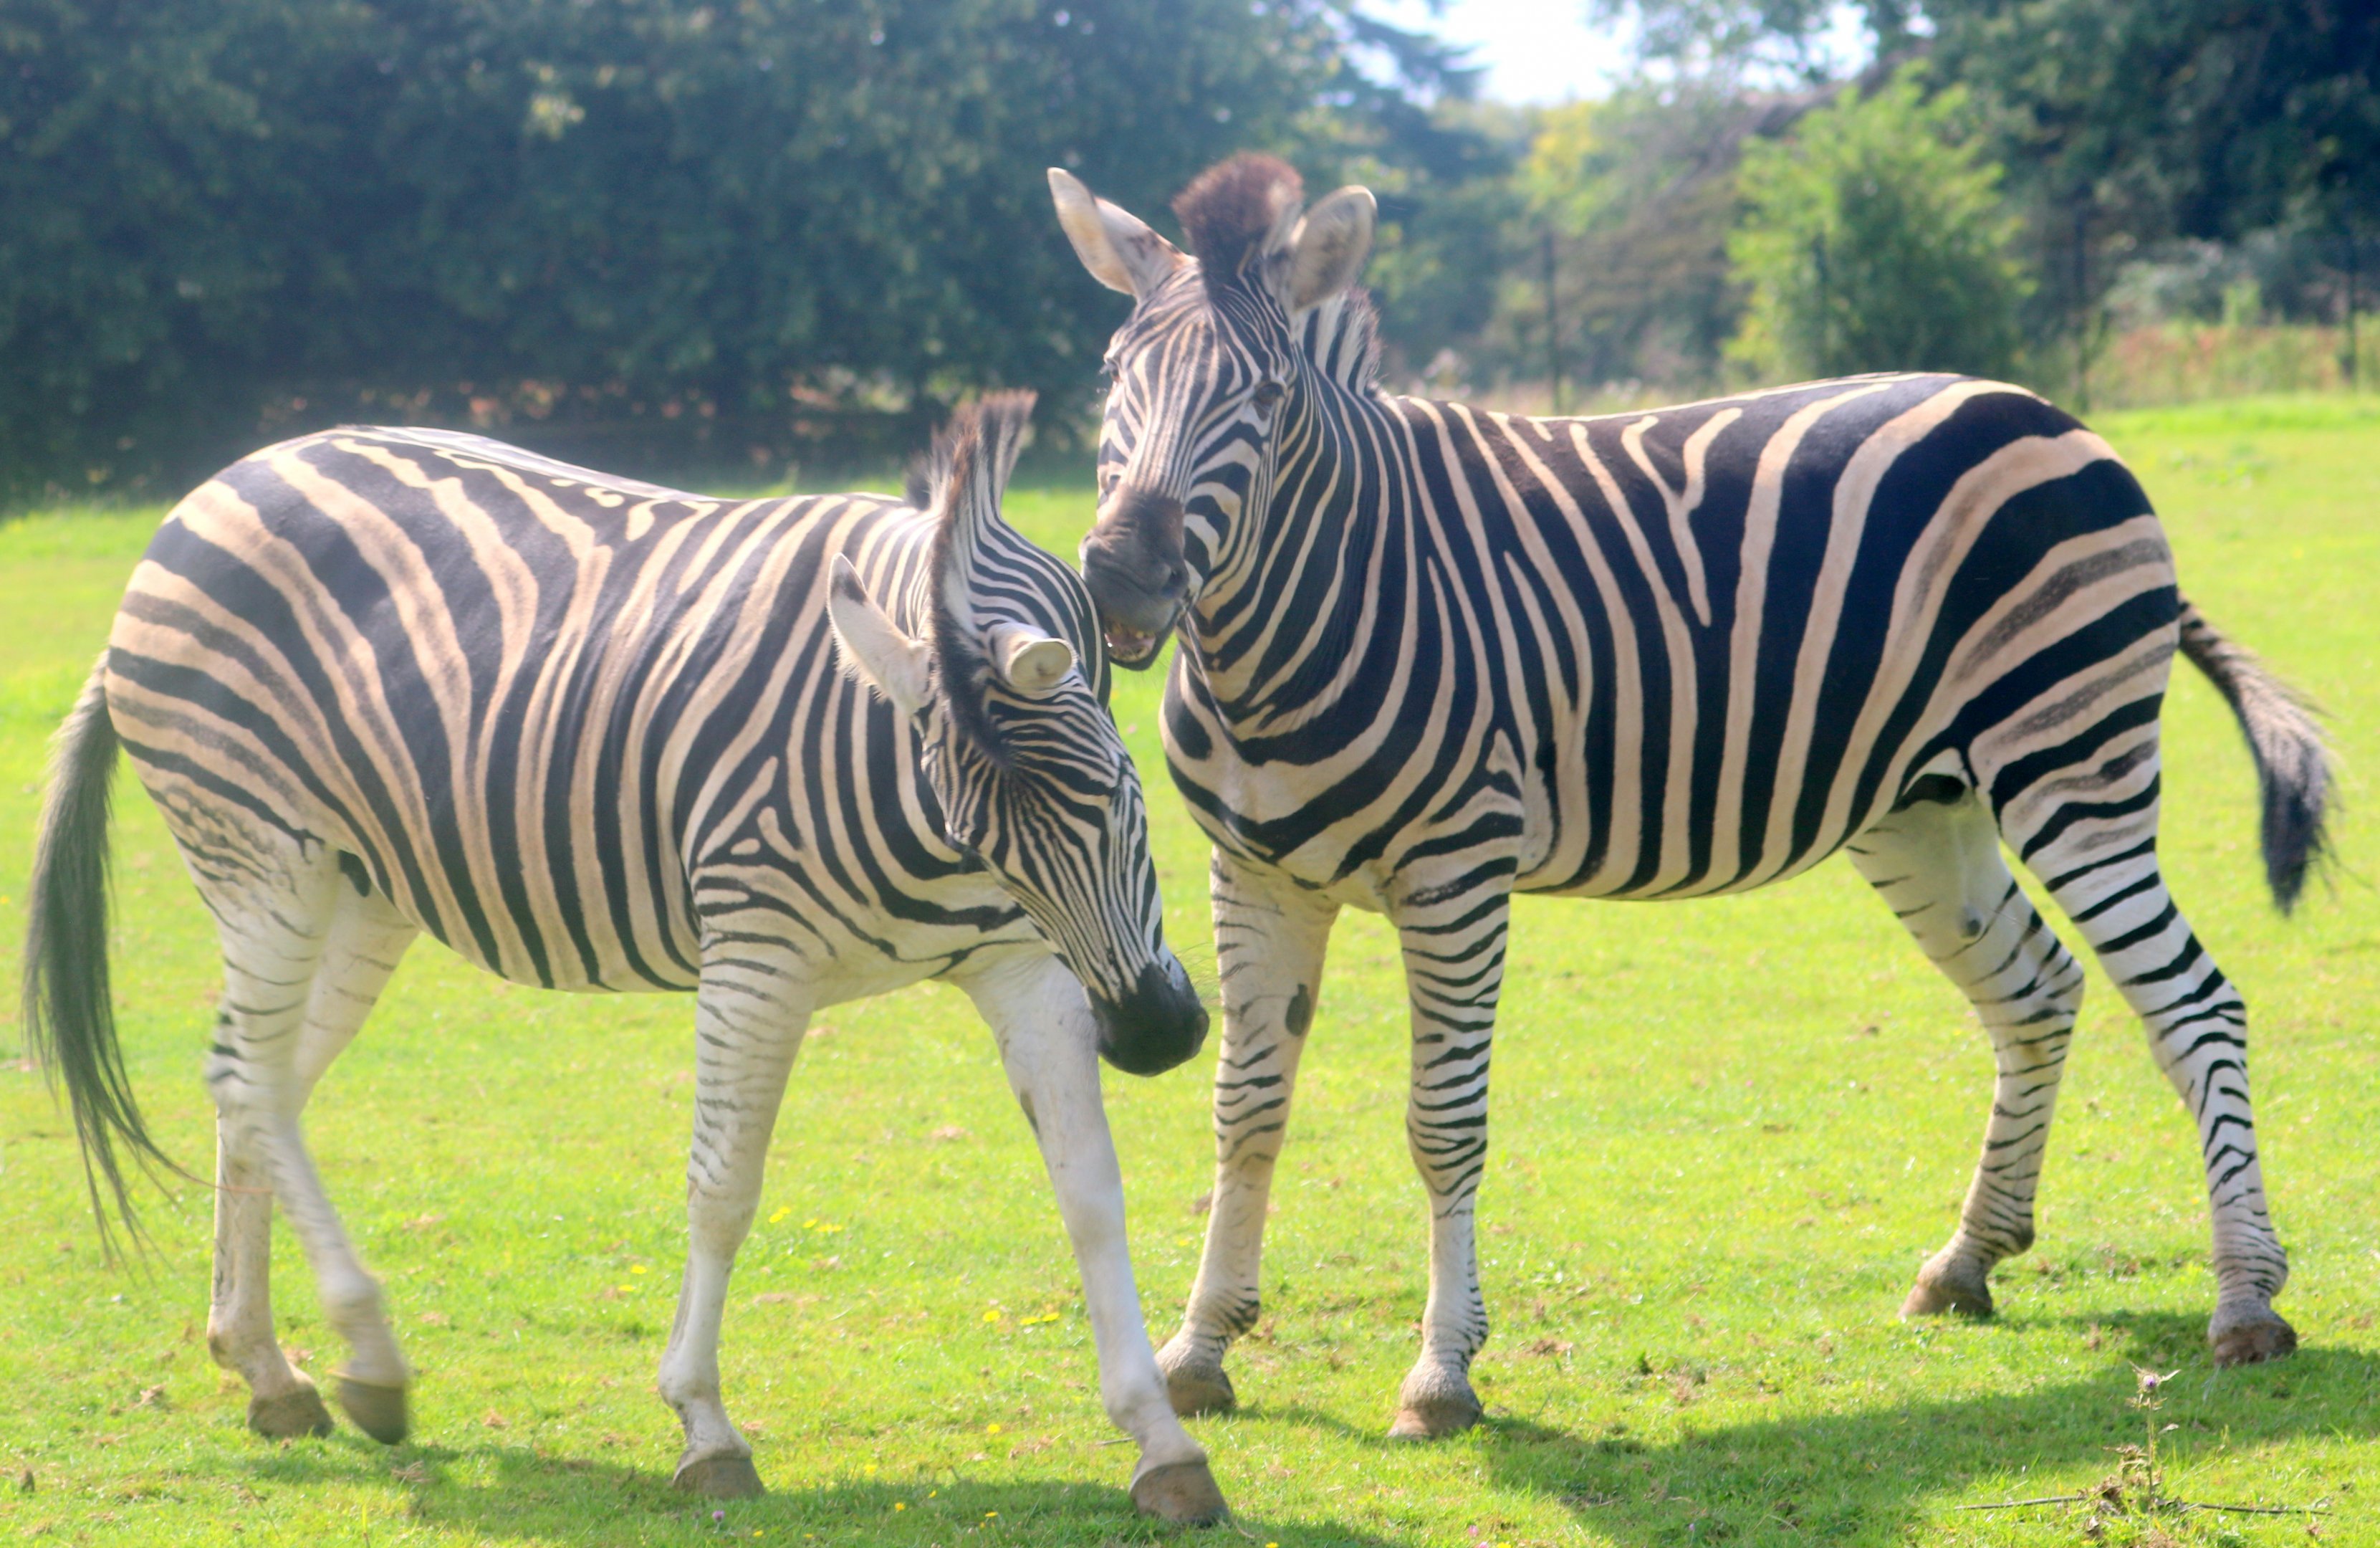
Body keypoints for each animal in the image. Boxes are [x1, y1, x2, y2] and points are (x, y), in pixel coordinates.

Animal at [20, 394, 1230, 1521]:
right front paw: (704, 1428)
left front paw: (1161, 1442)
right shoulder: (755, 950)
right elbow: (723, 1192)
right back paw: (367, 1359)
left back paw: (269, 1370)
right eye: (981, 835)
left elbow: (1089, 1189)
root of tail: (214, 490)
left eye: (1117, 798)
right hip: (260, 855)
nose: (1157, 1036)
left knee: (256, 1085)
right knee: (249, 1077)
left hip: (361, 891)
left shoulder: (1025, 963)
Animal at [1045, 153, 2332, 1439]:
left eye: (1263, 398)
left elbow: (1442, 1122)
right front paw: (1198, 1349)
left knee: (2193, 1003)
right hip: (1925, 806)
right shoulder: (1256, 872)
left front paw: (1441, 1373)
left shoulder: (1456, 872)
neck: (1285, 631)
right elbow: (1245, 1111)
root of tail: (2053, 414)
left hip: (2071, 761)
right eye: (1109, 378)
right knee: (2037, 991)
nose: (1120, 575)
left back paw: (2244, 1302)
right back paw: (1966, 1261)